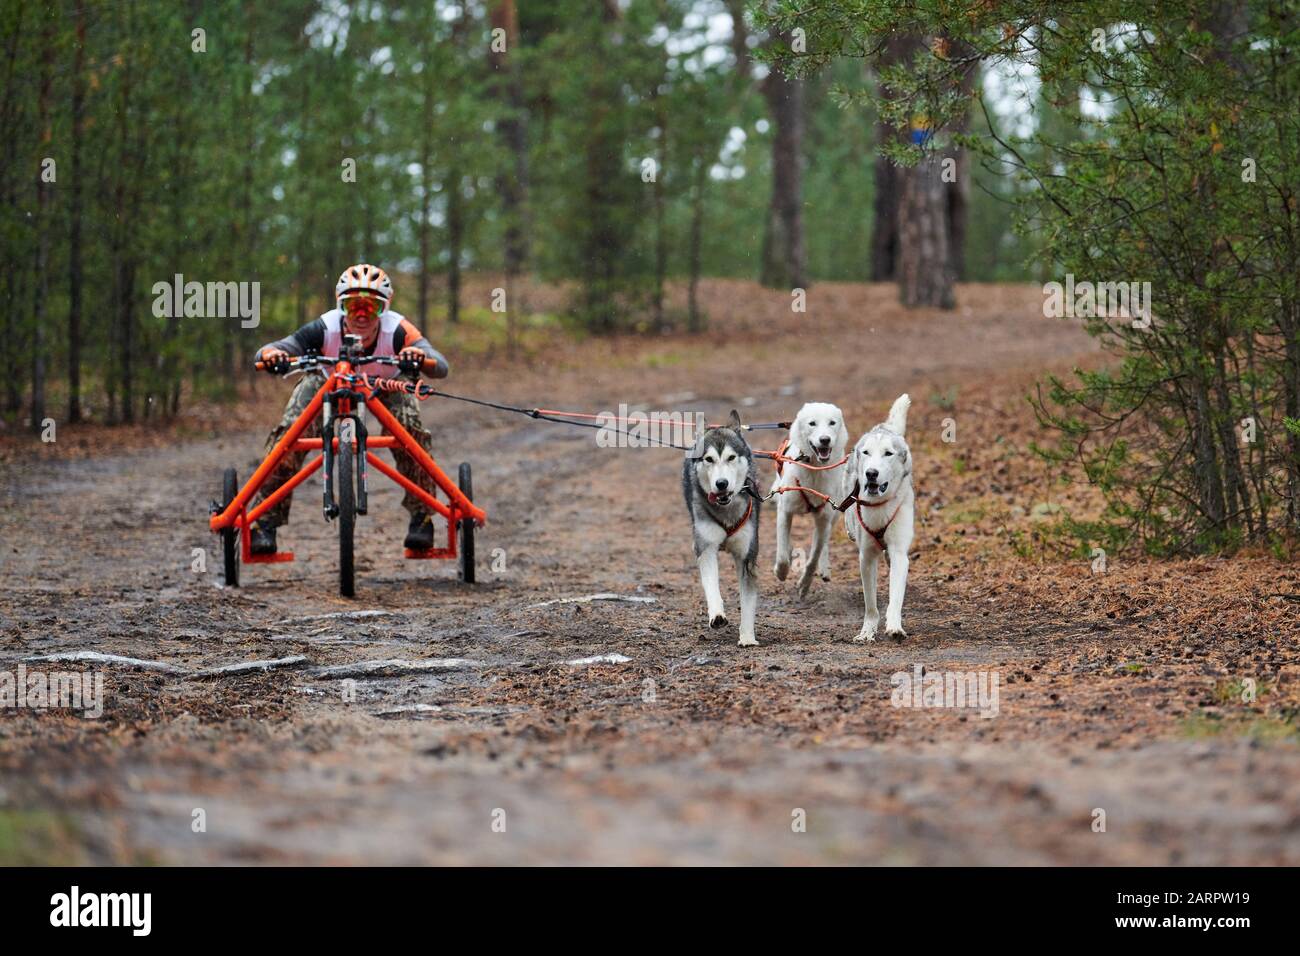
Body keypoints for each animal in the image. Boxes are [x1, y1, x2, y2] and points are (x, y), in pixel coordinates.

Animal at [769, 400, 852, 595]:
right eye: (812, 423)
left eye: (832, 423)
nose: (825, 439)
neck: (814, 468)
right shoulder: (785, 511)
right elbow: (782, 554)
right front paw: (781, 572)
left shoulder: (823, 518)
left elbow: (813, 557)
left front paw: (805, 584)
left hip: (834, 514)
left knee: (824, 543)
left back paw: (824, 568)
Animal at [842, 395, 915, 642]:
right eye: (866, 453)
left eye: (888, 453)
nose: (871, 473)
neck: (878, 505)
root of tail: (883, 427)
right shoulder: (866, 557)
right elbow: (870, 604)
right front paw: (867, 631)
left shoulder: (899, 553)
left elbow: (895, 597)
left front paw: (894, 626)